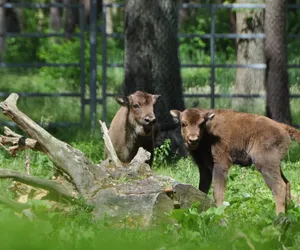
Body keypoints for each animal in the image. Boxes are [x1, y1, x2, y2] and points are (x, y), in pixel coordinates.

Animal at [170, 108, 300, 216]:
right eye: (183, 123)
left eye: (201, 124)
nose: (193, 139)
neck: (208, 133)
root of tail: (283, 127)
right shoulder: (204, 167)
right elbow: (202, 189)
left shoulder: (220, 164)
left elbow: (218, 191)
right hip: (274, 165)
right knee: (287, 183)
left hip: (264, 164)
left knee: (279, 186)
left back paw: (279, 217)